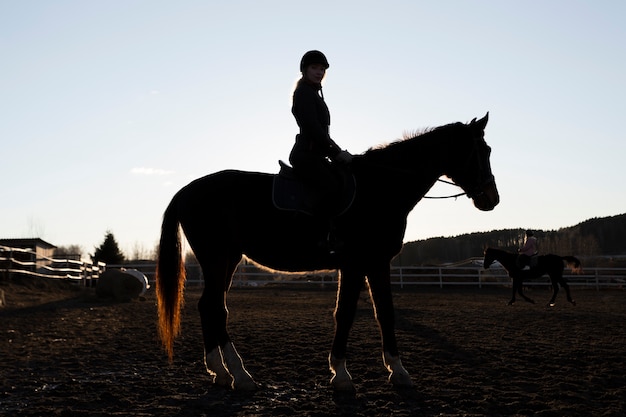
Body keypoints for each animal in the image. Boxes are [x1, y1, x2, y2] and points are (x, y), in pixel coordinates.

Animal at [155, 111, 498, 390]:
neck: (381, 188)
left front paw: (398, 372)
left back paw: (223, 373)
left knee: (211, 307)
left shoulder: (376, 263)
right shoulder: (357, 264)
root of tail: (187, 190)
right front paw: (342, 375)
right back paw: (238, 375)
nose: (491, 198)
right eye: (483, 151)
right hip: (216, 257)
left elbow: (384, 312)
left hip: (228, 259)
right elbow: (345, 314)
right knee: (214, 307)